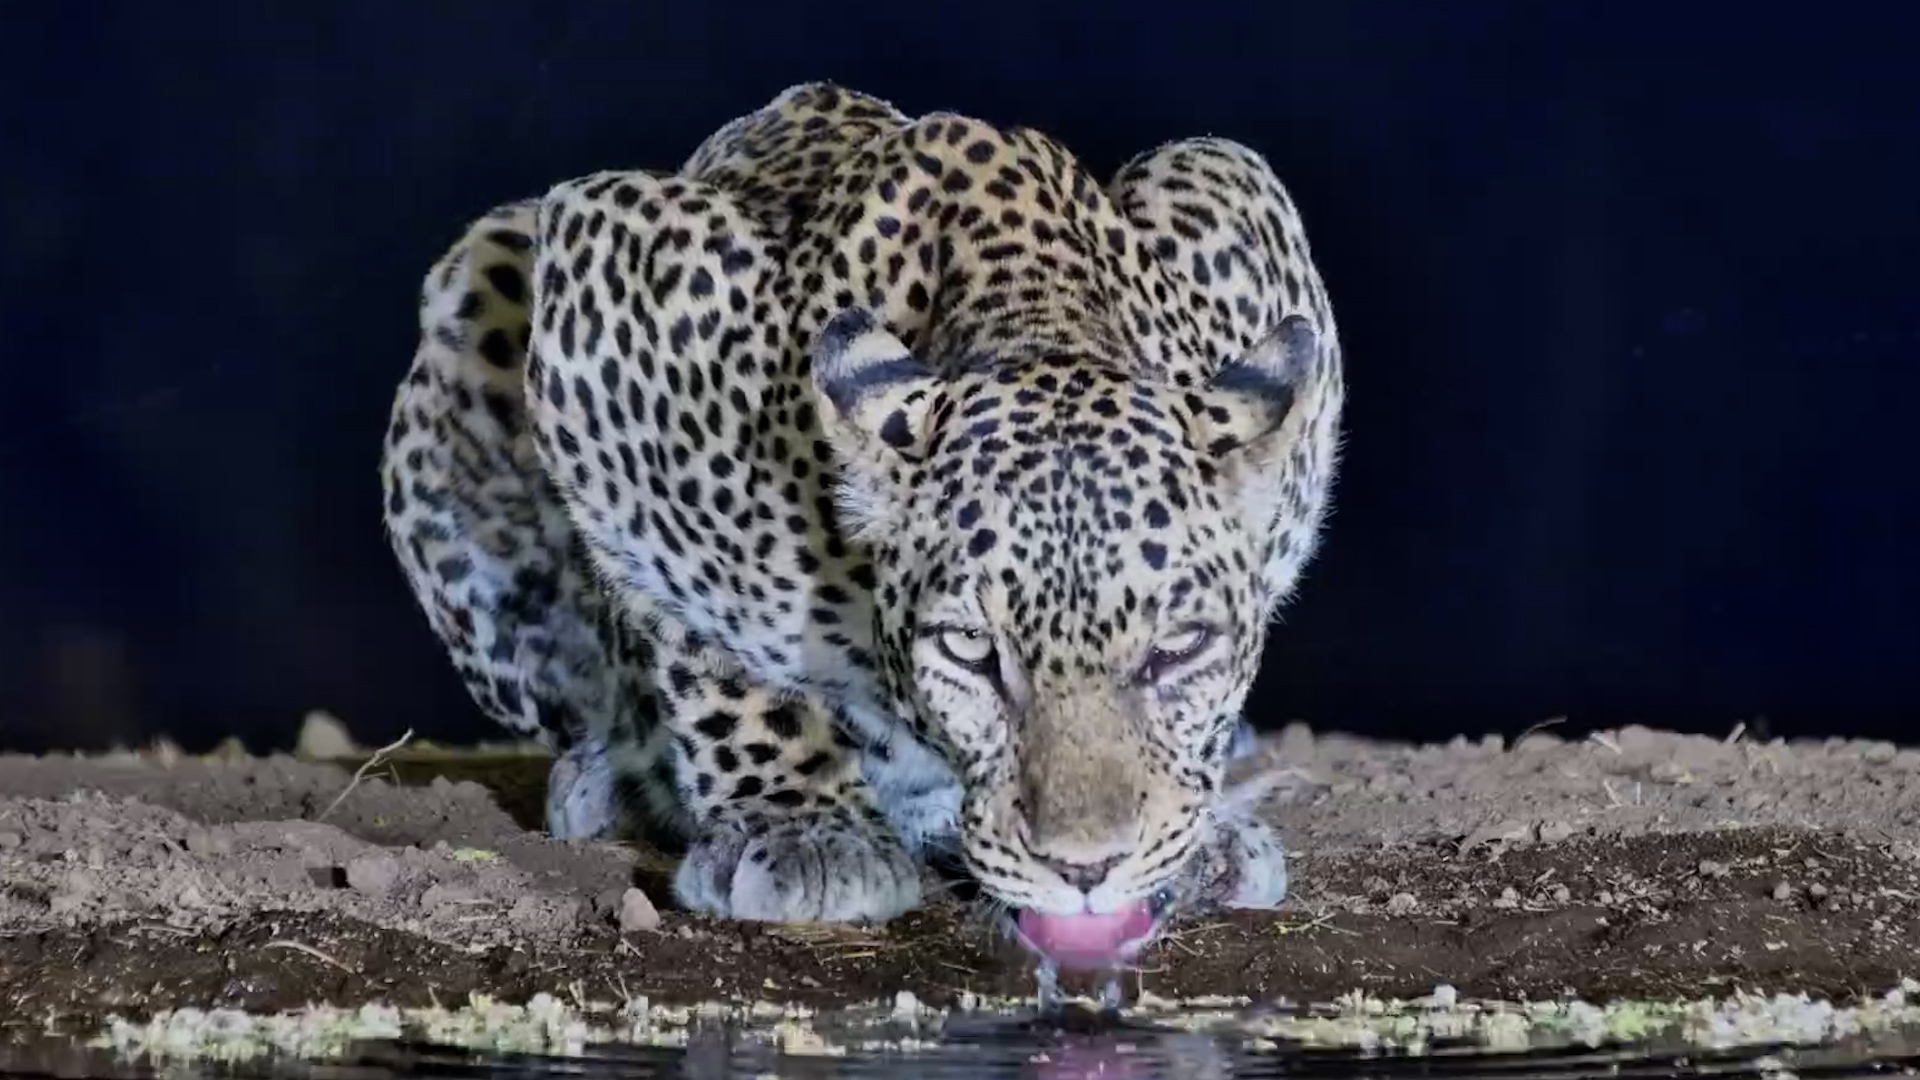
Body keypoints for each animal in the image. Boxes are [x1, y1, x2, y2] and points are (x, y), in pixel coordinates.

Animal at [379, 82, 1344, 971]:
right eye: (971, 652)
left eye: (1178, 649)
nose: (1085, 870)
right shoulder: (614, 295)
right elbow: (707, 643)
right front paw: (799, 824)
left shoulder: (1236, 193)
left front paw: (1200, 829)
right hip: (486, 277)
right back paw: (613, 778)